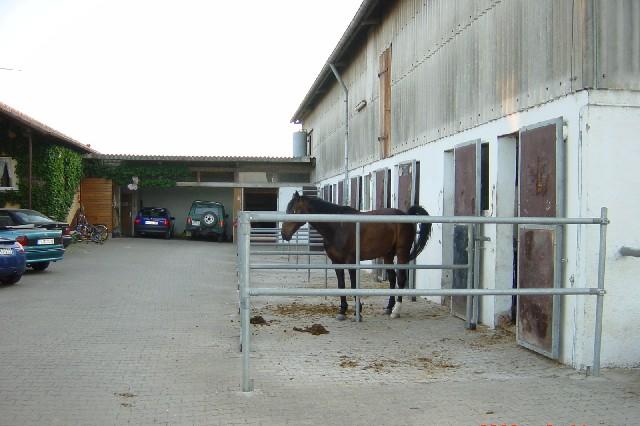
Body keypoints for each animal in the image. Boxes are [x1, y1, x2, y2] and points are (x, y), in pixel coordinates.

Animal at [278, 192, 430, 320]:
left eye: (293, 210)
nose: (284, 234)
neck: (337, 227)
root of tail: (406, 215)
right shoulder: (336, 262)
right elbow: (341, 285)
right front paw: (342, 311)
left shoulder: (351, 261)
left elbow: (353, 285)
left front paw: (358, 312)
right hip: (388, 254)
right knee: (392, 279)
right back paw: (388, 308)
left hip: (402, 252)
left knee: (401, 278)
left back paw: (396, 311)